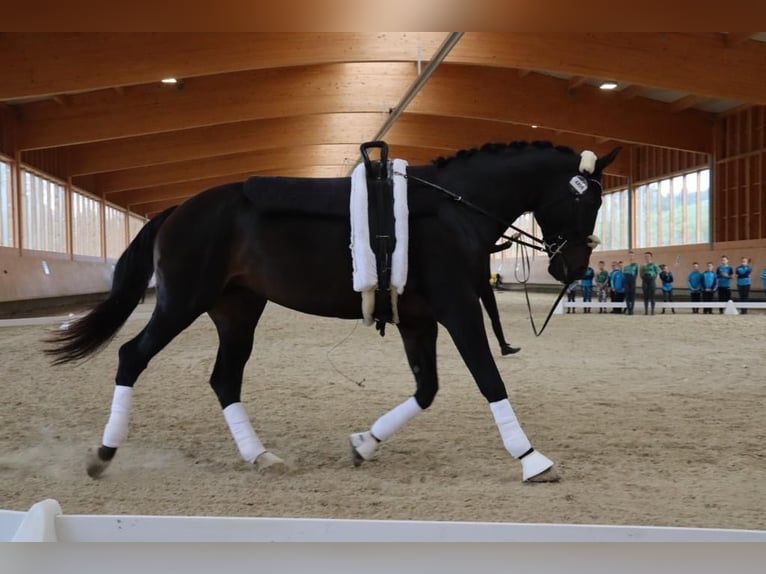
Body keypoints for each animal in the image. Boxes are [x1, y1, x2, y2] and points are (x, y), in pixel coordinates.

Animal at [46, 142, 616, 484]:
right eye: (587, 202)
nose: (573, 267)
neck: (455, 207)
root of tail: (178, 210)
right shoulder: (458, 309)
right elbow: (488, 378)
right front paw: (531, 458)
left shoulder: (419, 320)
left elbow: (426, 390)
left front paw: (365, 444)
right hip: (181, 303)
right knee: (131, 357)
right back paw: (103, 454)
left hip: (237, 312)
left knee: (224, 379)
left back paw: (260, 455)